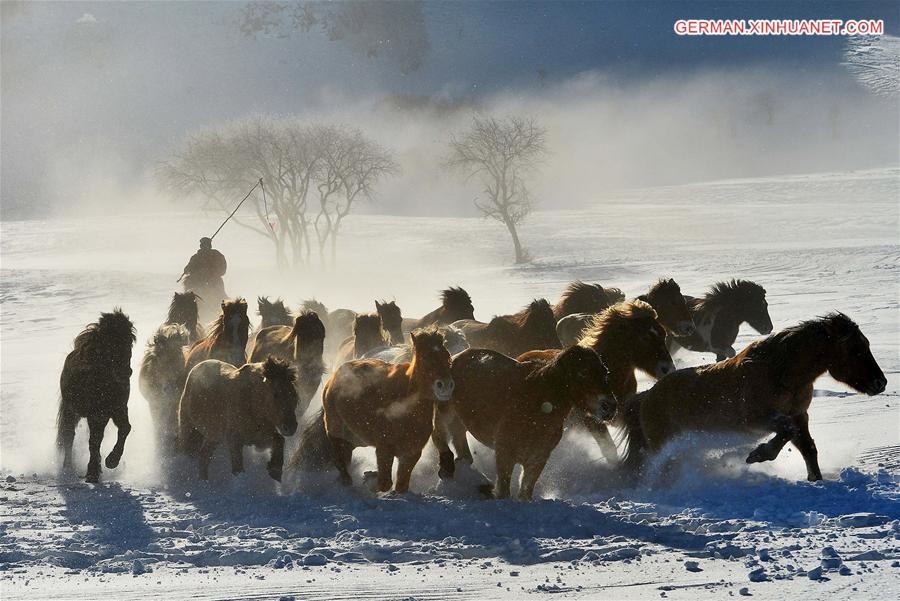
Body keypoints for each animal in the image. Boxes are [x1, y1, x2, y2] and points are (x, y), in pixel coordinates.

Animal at [58, 310, 137, 482]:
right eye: (110, 342)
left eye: (129, 341)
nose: (125, 372)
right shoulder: (96, 413)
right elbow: (94, 441)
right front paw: (93, 472)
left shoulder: (117, 409)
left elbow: (125, 428)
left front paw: (111, 461)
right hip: (70, 411)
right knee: (69, 436)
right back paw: (68, 467)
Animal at [322, 328, 454, 492]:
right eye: (424, 358)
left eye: (447, 356)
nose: (445, 385)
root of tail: (335, 376)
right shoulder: (384, 449)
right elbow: (385, 484)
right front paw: (371, 480)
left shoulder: (411, 453)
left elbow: (401, 485)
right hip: (336, 432)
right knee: (340, 461)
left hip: (356, 438)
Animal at [436, 344, 620, 500]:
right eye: (583, 372)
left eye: (605, 372)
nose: (609, 406)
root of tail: (457, 356)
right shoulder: (504, 453)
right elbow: (503, 491)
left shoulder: (538, 458)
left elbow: (525, 492)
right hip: (444, 412)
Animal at [620, 312, 884, 480]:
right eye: (855, 350)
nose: (881, 383)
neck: (779, 372)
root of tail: (646, 398)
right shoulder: (757, 421)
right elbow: (786, 431)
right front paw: (758, 455)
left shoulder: (800, 416)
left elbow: (808, 447)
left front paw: (815, 479)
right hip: (662, 448)